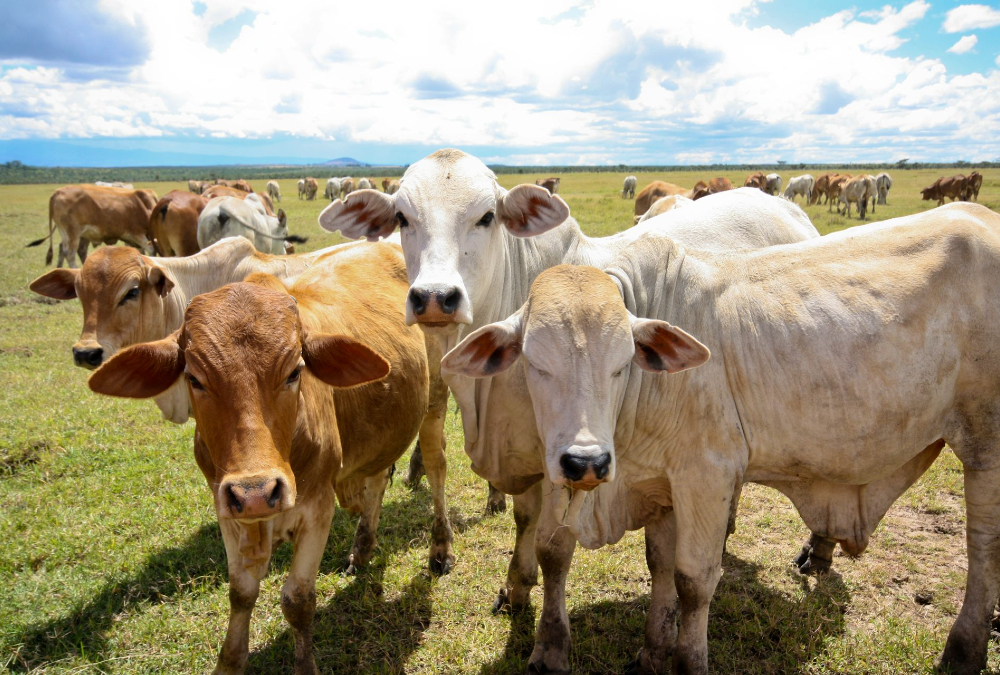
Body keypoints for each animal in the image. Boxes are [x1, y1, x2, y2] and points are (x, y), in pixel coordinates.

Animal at [27, 185, 159, 268]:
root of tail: (57, 192)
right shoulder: (137, 234)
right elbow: (151, 251)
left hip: (67, 233)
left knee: (64, 250)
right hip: (73, 234)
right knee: (69, 253)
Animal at [86, 241, 452, 673]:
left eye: (295, 371)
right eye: (194, 378)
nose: (257, 492)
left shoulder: (317, 508)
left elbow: (297, 600)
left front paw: (304, 664)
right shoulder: (227, 508)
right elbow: (241, 593)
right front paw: (229, 662)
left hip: (435, 401)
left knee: (436, 467)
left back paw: (440, 549)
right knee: (378, 479)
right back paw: (362, 549)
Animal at [317, 149, 821, 647]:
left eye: (487, 217)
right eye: (402, 218)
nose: (435, 298)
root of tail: (782, 204)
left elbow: (552, 539)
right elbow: (524, 518)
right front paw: (516, 587)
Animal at [441, 201, 1000, 675]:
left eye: (622, 363)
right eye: (536, 364)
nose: (588, 461)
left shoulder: (705, 476)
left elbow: (692, 581)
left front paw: (687, 659)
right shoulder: (640, 480)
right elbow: (588, 556)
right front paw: (585, 651)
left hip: (985, 447)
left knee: (983, 547)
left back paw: (964, 650)